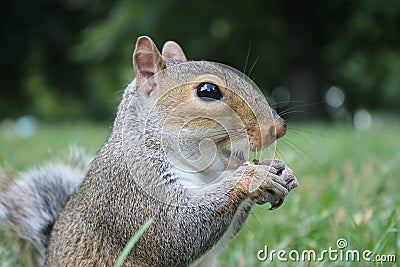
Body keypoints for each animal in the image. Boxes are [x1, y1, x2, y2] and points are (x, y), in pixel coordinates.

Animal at [0, 36, 296, 266]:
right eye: (208, 90)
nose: (278, 129)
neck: (204, 174)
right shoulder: (129, 189)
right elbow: (174, 232)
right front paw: (251, 178)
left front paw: (279, 171)